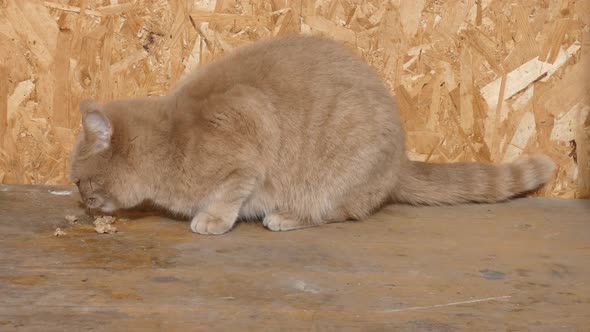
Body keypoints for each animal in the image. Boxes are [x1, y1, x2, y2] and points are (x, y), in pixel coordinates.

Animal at [68, 35, 556, 235]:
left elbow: (228, 194)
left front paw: (213, 219)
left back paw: (285, 217)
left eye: (78, 179)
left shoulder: (248, 136)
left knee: (336, 212)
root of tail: (397, 164)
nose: (82, 202)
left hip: (331, 180)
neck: (171, 139)